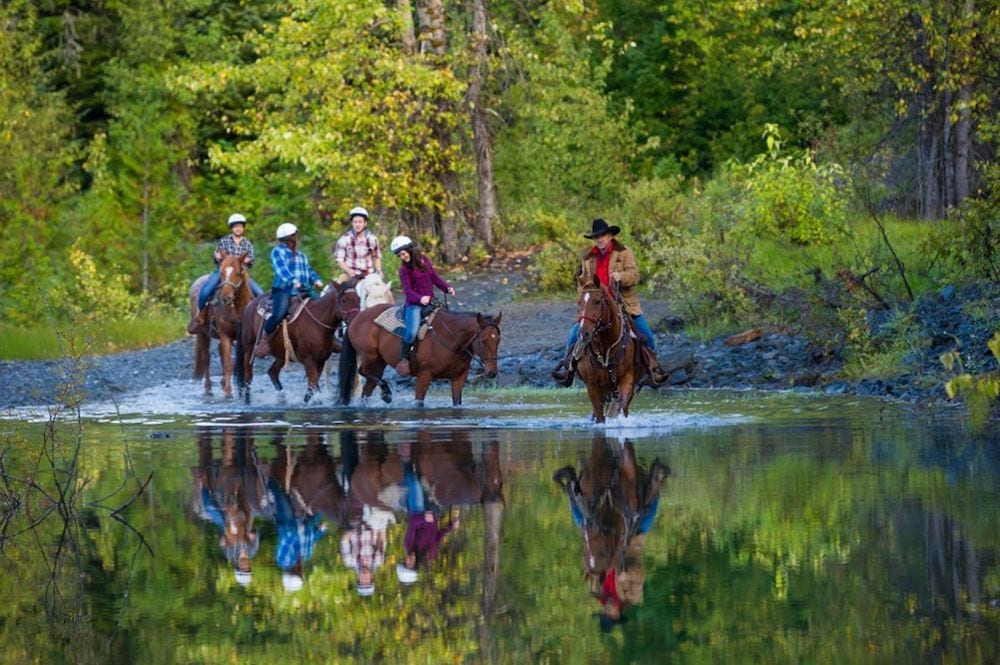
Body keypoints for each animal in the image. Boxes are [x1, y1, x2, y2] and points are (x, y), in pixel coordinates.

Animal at [188, 253, 254, 400]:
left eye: (238, 273)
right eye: (222, 274)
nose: (226, 297)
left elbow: (241, 362)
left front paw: (243, 388)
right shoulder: (225, 336)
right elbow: (228, 363)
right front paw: (228, 392)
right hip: (203, 334)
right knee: (206, 358)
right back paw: (208, 389)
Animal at [340, 304, 504, 408]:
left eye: (498, 340)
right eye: (483, 341)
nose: (492, 372)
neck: (451, 339)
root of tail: (356, 318)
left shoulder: (459, 377)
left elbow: (457, 402)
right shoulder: (424, 375)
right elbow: (419, 402)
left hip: (379, 362)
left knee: (368, 388)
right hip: (370, 356)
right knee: (363, 371)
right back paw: (386, 393)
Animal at [572, 274, 640, 420]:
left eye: (597, 301)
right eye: (579, 303)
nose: (584, 333)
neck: (606, 345)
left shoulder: (627, 380)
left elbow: (622, 407)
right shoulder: (592, 387)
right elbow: (599, 416)